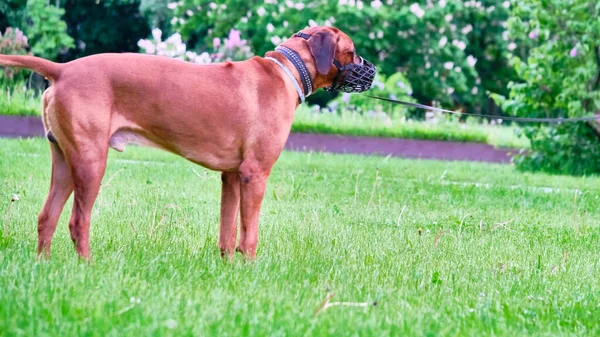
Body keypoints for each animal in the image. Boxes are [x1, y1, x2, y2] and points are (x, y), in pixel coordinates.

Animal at [0, 25, 376, 260]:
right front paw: (250, 268)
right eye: (352, 50)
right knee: (78, 221)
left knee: (46, 217)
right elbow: (249, 234)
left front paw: (228, 268)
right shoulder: (255, 174)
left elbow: (227, 231)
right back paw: (87, 266)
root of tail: (63, 69)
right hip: (91, 162)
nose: (372, 71)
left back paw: (45, 266)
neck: (286, 70)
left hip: (65, 160)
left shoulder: (232, 176)